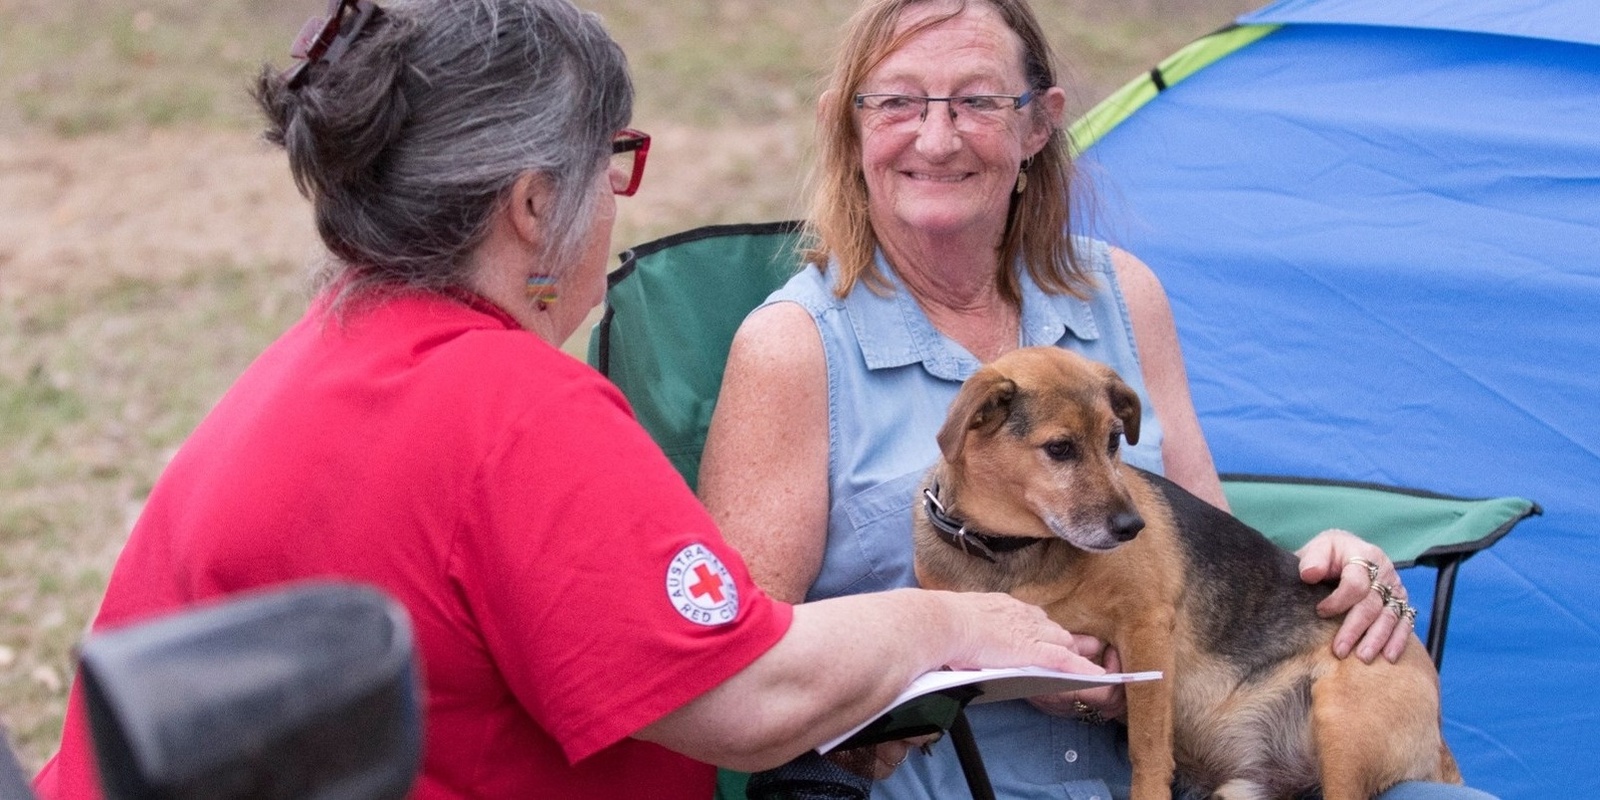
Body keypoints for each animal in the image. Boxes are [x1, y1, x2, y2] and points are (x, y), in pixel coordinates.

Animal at [915, 348, 1465, 800]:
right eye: (1059, 449)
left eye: (1114, 441)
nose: (1132, 526)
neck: (1014, 554)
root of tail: (1439, 739)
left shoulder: (1146, 631)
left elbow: (1147, 746)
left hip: (1343, 720)